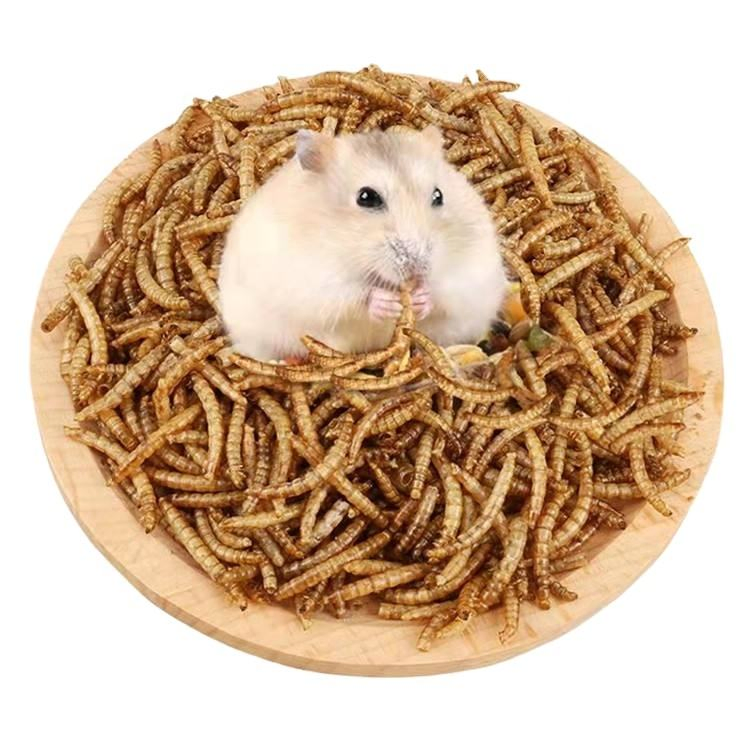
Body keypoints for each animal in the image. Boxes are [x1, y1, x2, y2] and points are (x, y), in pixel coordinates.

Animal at [218, 125, 508, 360]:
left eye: (438, 195)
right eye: (366, 197)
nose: (417, 271)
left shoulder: (473, 269)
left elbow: (446, 290)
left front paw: (421, 298)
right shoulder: (308, 278)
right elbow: (352, 296)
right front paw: (386, 303)